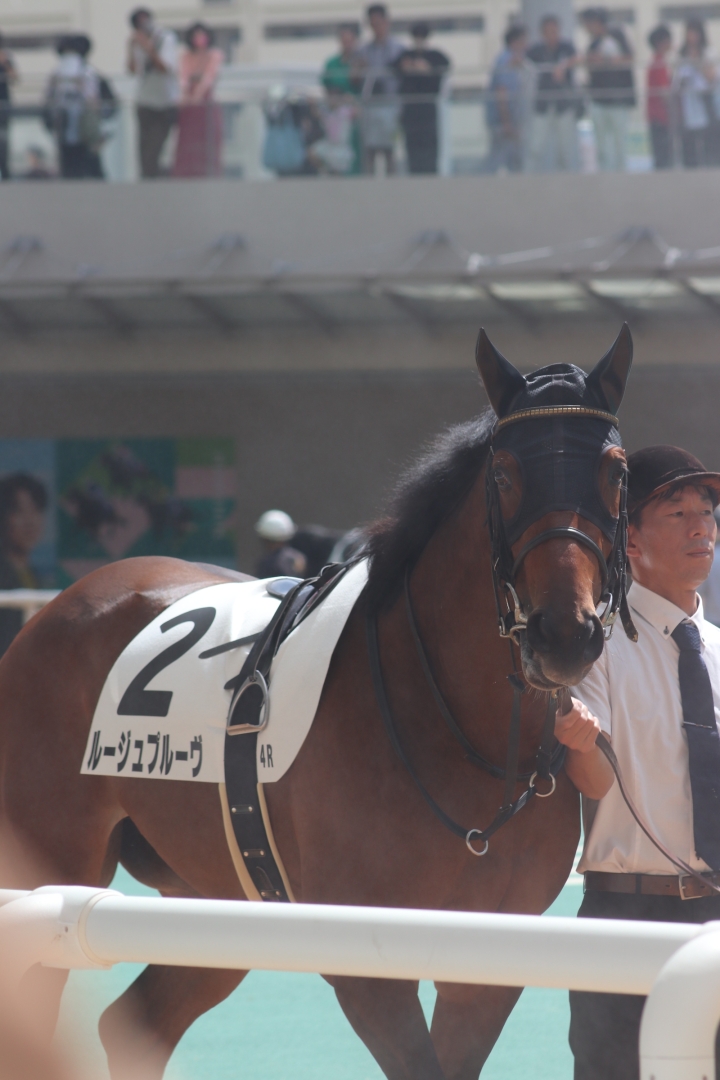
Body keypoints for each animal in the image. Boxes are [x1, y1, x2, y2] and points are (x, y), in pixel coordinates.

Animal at [0, 326, 633, 1080]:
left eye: (616, 471)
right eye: (505, 474)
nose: (564, 634)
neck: (460, 728)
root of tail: (55, 611)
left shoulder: (487, 964)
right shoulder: (366, 965)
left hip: (215, 899)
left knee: (135, 1023)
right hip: (56, 873)